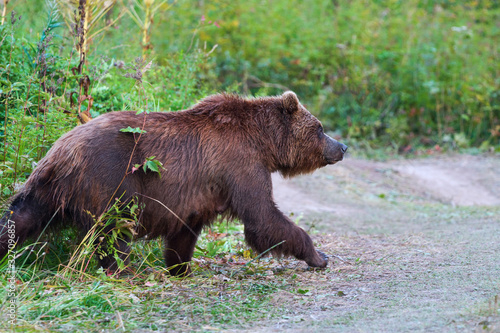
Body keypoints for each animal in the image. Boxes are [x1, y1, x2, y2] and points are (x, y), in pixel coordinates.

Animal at [0, 91, 348, 274]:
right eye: (319, 128)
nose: (342, 147)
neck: (264, 143)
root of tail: (59, 150)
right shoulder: (240, 164)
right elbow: (262, 217)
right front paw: (319, 255)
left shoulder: (197, 194)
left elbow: (184, 233)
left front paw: (180, 267)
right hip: (113, 176)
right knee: (115, 229)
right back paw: (124, 270)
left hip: (47, 190)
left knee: (19, 217)